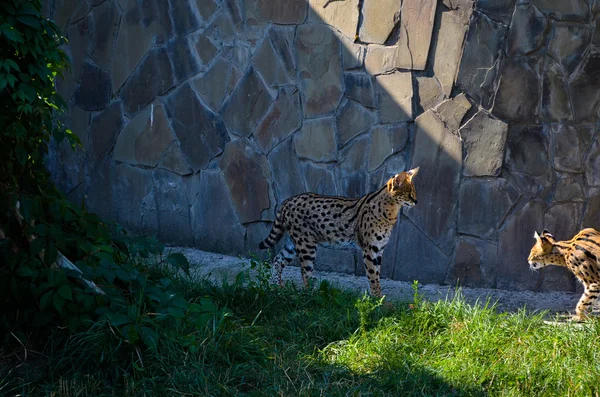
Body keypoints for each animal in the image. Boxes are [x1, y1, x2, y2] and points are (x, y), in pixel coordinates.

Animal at [258, 166, 422, 294]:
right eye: (409, 194)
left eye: (414, 192)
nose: (416, 201)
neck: (391, 210)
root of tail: (287, 201)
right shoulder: (370, 249)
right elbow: (373, 277)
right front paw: (378, 301)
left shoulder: (379, 249)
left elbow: (377, 275)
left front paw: (379, 300)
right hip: (306, 245)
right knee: (304, 272)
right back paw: (312, 295)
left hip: (293, 242)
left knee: (278, 260)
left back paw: (279, 288)